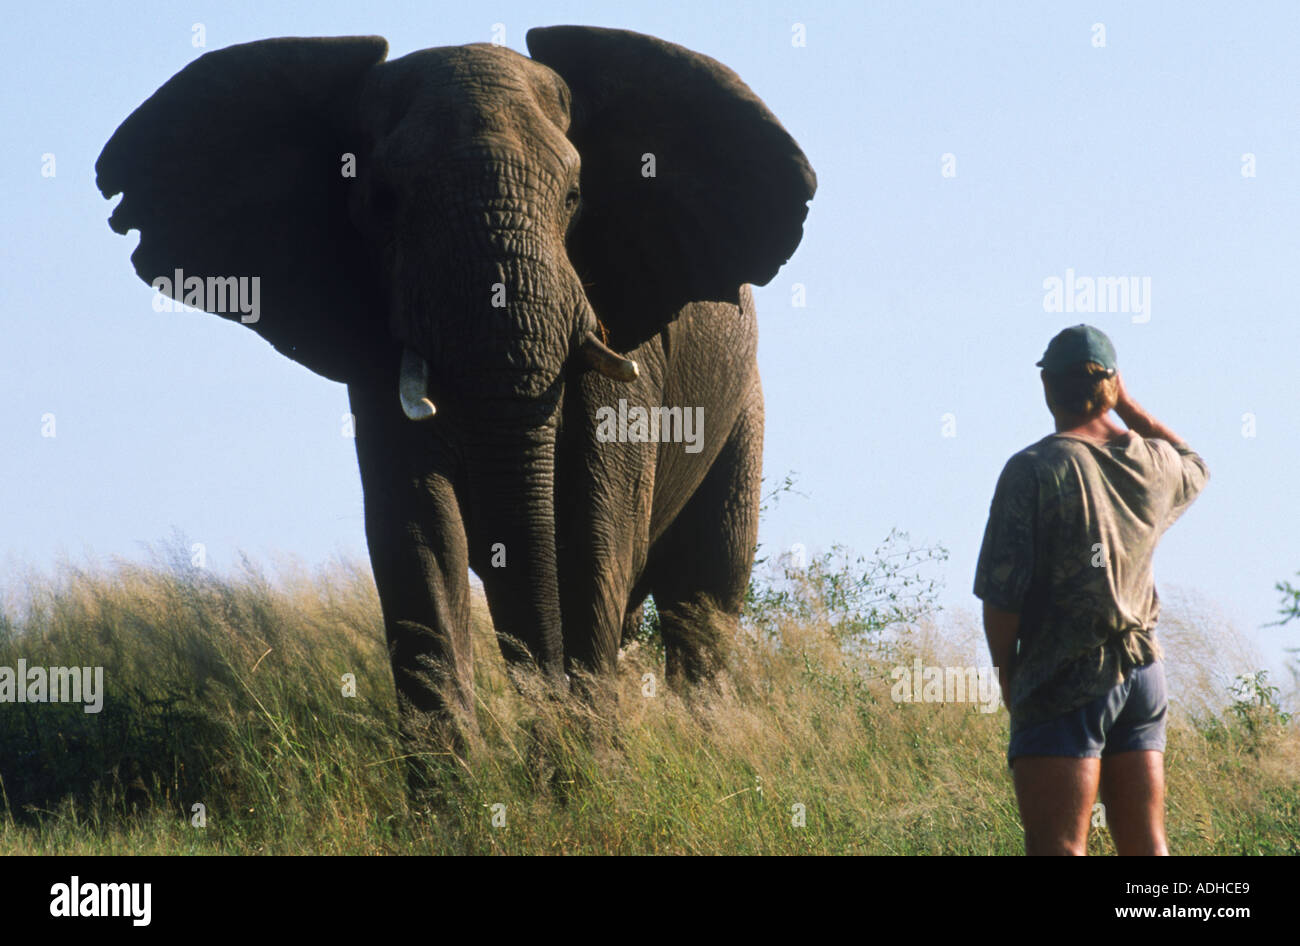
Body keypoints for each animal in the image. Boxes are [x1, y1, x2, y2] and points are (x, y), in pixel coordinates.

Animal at [96, 27, 816, 748]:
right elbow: (419, 534)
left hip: (742, 408)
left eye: (574, 198)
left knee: (703, 594)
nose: (546, 722)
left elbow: (596, 531)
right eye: (383, 203)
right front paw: (464, 781)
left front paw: (585, 769)